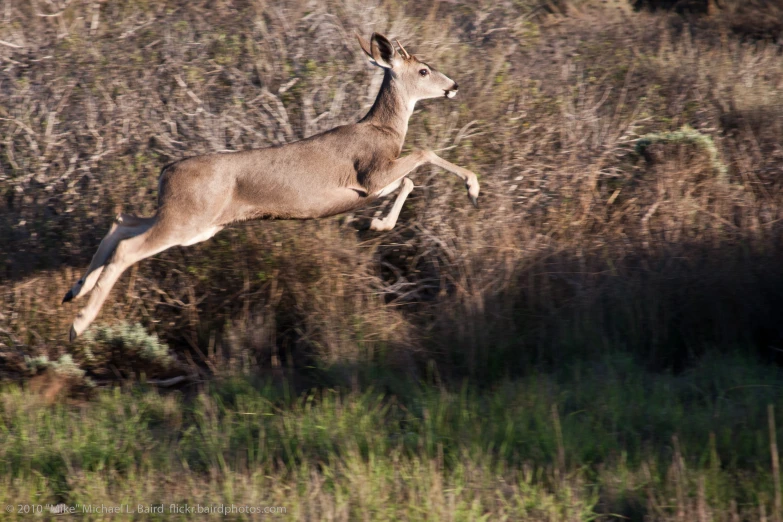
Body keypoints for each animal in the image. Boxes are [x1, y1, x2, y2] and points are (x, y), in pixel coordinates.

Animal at [61, 33, 480, 342]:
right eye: (424, 70)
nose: (455, 86)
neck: (383, 130)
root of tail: (167, 171)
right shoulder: (371, 173)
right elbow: (424, 153)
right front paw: (473, 188)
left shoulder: (372, 185)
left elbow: (408, 179)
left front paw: (377, 223)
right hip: (188, 218)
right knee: (129, 246)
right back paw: (78, 324)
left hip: (193, 220)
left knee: (122, 221)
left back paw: (75, 290)